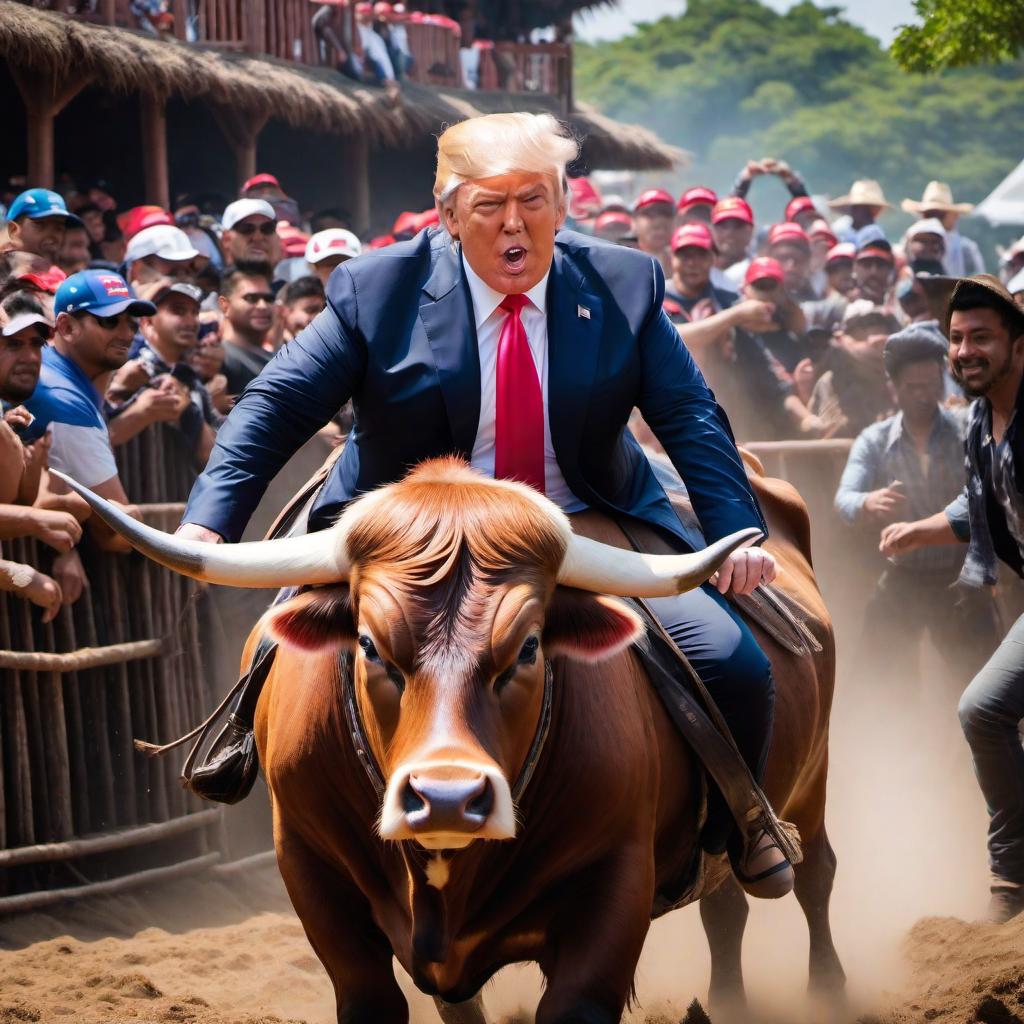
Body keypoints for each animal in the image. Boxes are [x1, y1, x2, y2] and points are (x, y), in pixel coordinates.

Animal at [51, 458, 843, 1024]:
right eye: (369, 645)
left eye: (529, 648)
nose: (448, 798)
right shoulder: (315, 876)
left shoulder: (613, 891)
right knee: (725, 909)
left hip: (809, 785)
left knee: (810, 880)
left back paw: (828, 988)